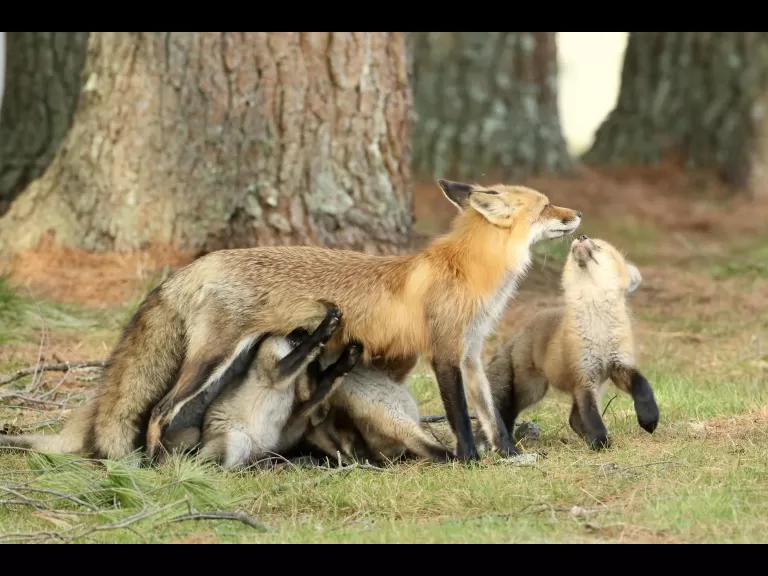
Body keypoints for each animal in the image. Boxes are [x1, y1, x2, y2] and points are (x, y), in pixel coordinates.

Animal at [1, 180, 582, 463]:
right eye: (547, 206)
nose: (576, 215)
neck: (471, 270)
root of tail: (195, 265)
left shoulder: (471, 352)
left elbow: (491, 415)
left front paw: (508, 454)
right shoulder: (443, 352)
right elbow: (462, 417)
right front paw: (469, 459)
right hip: (215, 358)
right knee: (161, 410)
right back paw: (160, 464)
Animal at [476, 235, 659, 451]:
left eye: (600, 246)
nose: (582, 236)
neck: (598, 329)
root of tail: (521, 331)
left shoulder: (619, 366)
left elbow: (643, 386)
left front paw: (649, 417)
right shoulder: (584, 377)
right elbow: (592, 416)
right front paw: (600, 441)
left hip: (597, 385)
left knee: (573, 419)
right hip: (532, 389)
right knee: (511, 409)